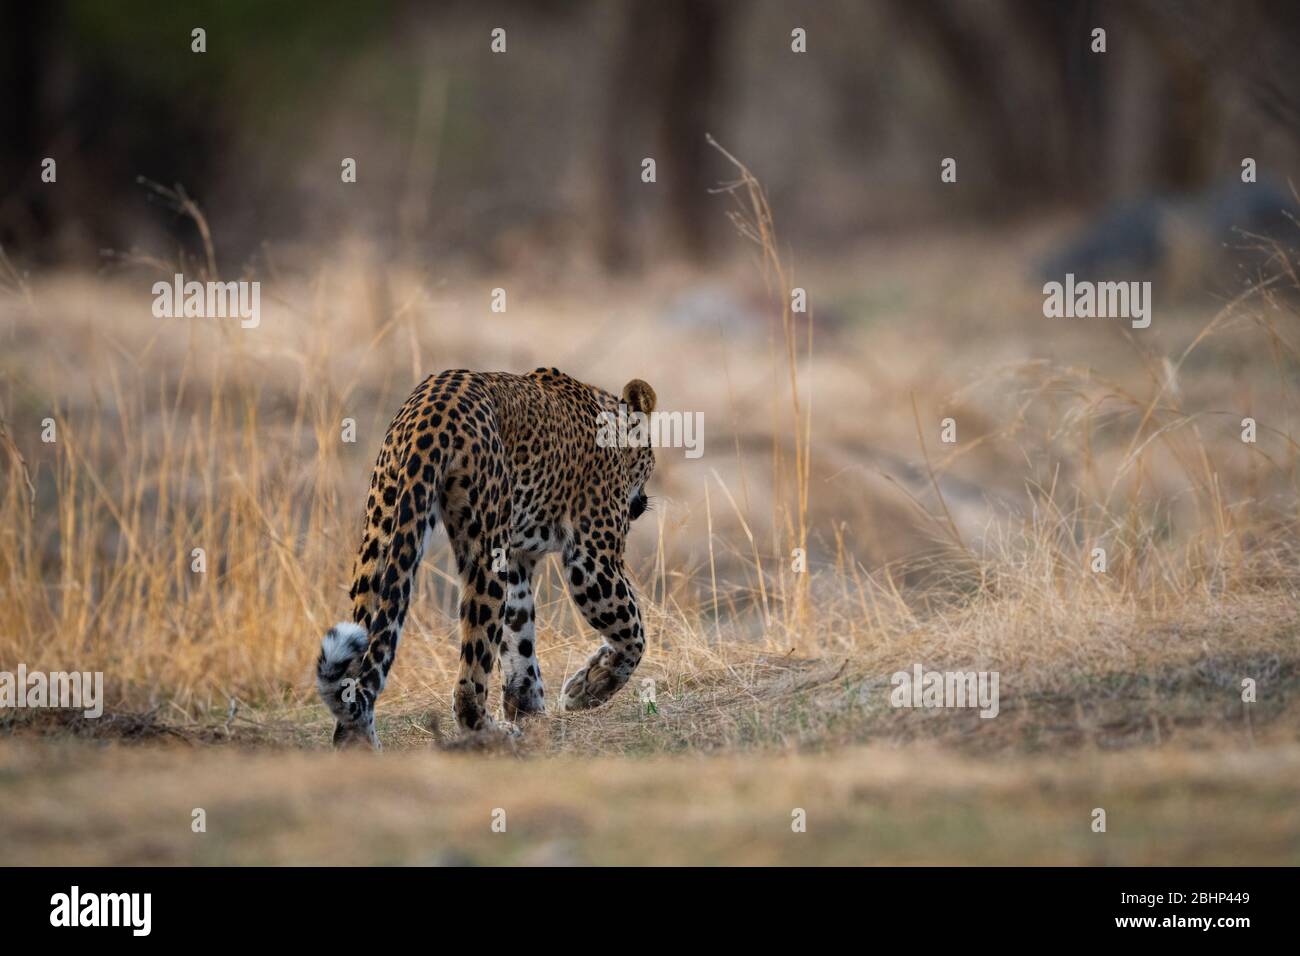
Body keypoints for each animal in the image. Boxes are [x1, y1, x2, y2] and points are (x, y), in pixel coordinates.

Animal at [315, 366, 660, 749]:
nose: (642, 503)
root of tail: (433, 408)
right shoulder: (592, 558)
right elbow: (632, 632)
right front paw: (587, 690)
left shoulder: (518, 560)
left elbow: (519, 637)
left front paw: (529, 708)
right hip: (484, 548)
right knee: (469, 676)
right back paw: (491, 732)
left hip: (383, 529)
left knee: (366, 647)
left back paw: (357, 740)